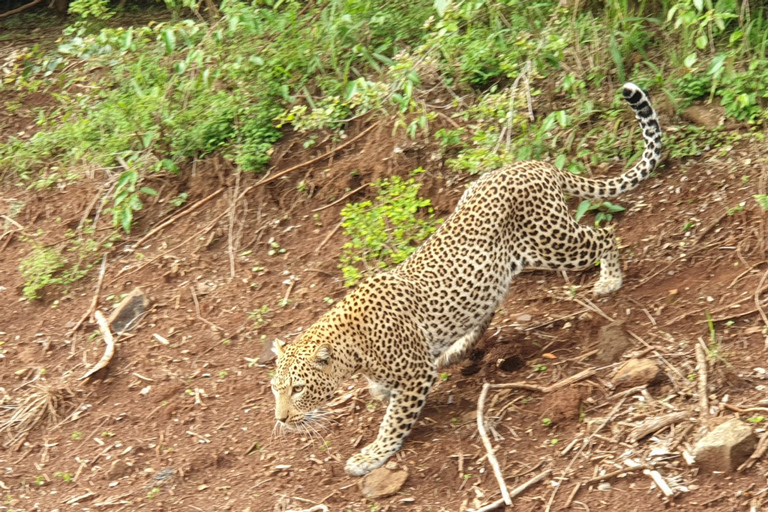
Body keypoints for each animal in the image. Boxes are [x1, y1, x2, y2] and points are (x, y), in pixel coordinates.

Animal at [268, 82, 660, 478]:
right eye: (274, 389)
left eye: (298, 389)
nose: (281, 419)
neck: (353, 350)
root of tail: (535, 164)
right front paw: (378, 393)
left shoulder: (415, 375)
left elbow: (393, 421)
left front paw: (372, 455)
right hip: (501, 264)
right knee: (490, 305)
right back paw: (455, 349)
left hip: (553, 242)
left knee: (605, 234)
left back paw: (610, 279)